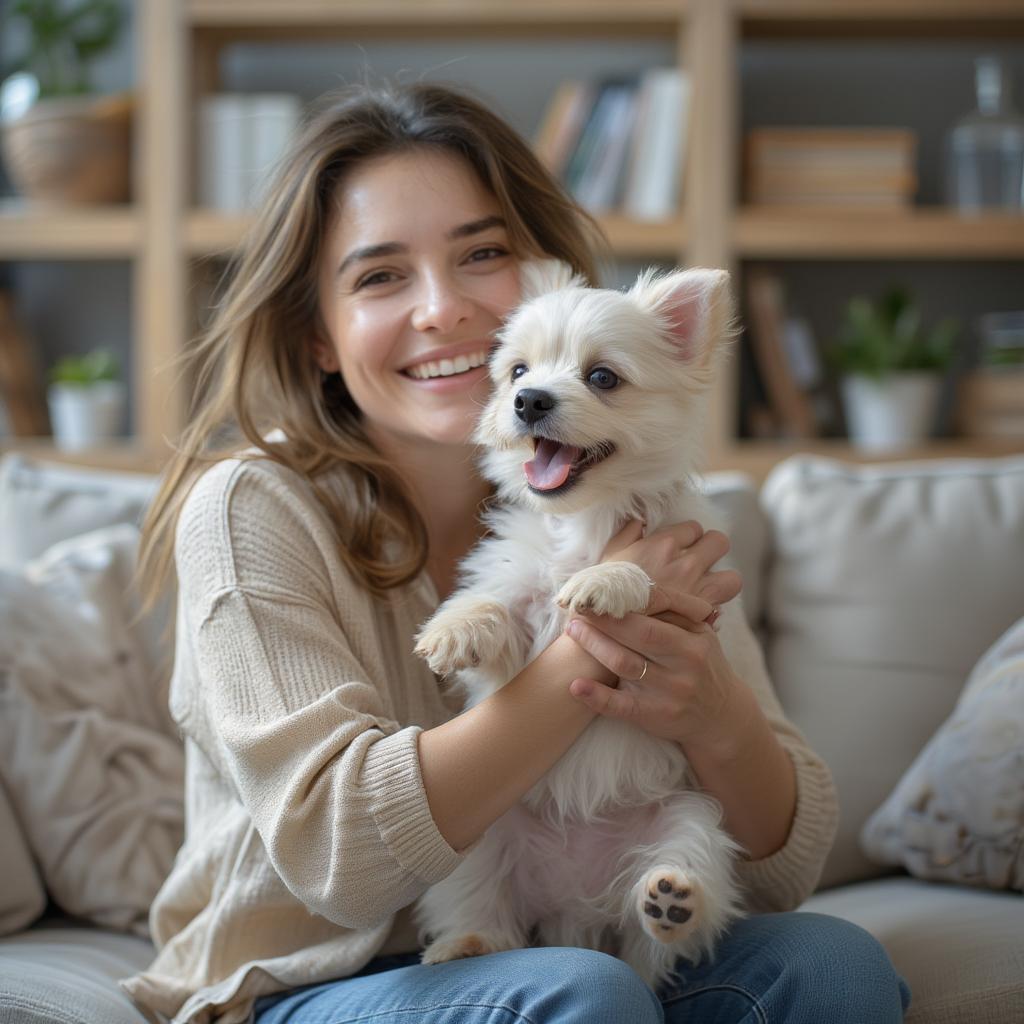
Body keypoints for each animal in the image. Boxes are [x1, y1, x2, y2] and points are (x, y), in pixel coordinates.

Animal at [413, 260, 745, 987]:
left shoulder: (694, 606)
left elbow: (640, 581)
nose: (529, 400)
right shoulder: (516, 621)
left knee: (667, 923)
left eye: (603, 377)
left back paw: (670, 900)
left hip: (688, 815)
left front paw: (606, 582)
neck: (586, 521)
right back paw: (470, 942)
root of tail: (576, 908)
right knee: (480, 903)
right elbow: (498, 607)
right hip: (482, 832)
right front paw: (454, 628)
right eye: (516, 370)